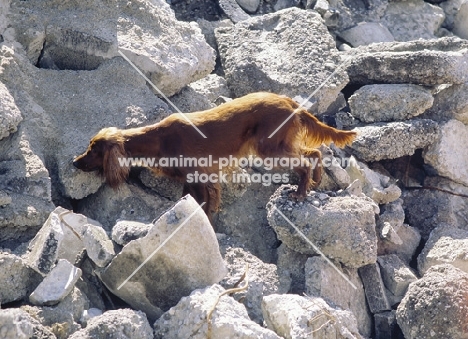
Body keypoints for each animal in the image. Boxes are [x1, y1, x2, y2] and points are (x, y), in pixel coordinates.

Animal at [73, 91, 356, 222]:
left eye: (92, 150)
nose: (74, 162)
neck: (158, 139)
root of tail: (289, 101)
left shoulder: (199, 177)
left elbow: (204, 205)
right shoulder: (195, 179)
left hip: (269, 149)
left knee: (305, 161)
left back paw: (300, 192)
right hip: (278, 145)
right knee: (315, 152)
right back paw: (315, 181)